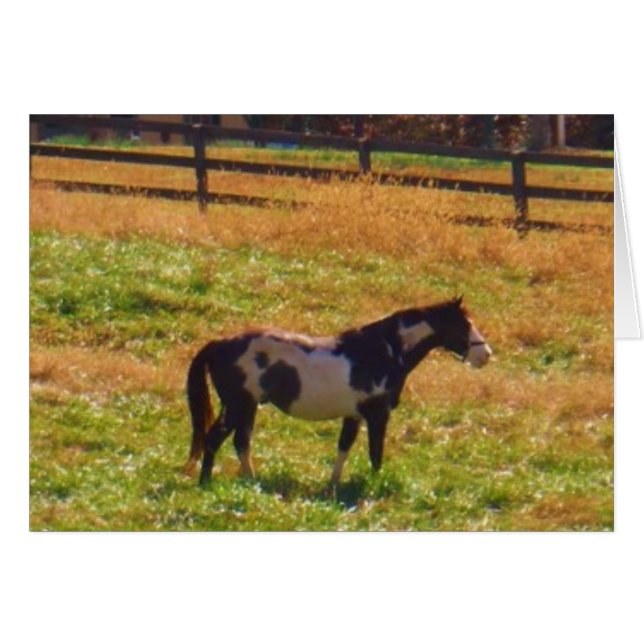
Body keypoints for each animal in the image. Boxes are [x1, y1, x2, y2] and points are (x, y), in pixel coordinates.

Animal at [185, 296, 492, 487]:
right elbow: (375, 454)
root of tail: (220, 343)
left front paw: (333, 486)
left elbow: (344, 448)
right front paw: (373, 487)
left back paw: (251, 481)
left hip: (247, 407)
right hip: (237, 406)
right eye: (463, 325)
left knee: (241, 443)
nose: (486, 355)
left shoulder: (353, 416)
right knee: (214, 439)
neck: (381, 351)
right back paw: (206, 483)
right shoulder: (377, 415)